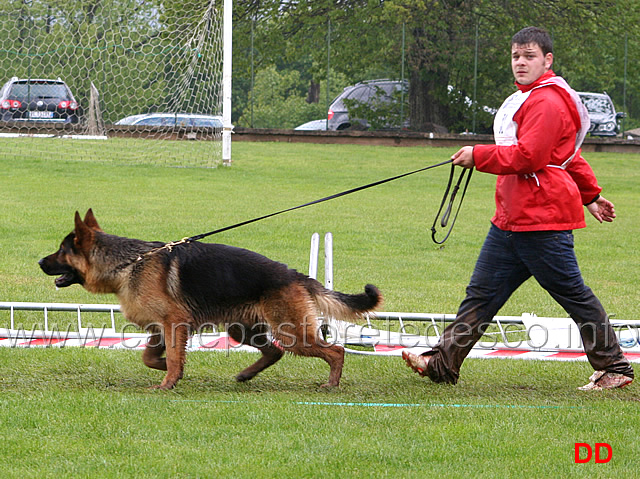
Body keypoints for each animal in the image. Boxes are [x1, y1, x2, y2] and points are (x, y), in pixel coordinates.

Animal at [40, 210, 382, 390]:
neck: (128, 263)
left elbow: (172, 357)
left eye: (61, 251)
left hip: (292, 333)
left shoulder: (174, 324)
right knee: (274, 352)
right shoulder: (160, 328)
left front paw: (168, 382)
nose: (40, 262)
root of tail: (296, 275)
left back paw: (332, 384)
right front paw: (169, 370)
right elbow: (151, 357)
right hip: (241, 330)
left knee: (335, 350)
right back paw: (246, 374)